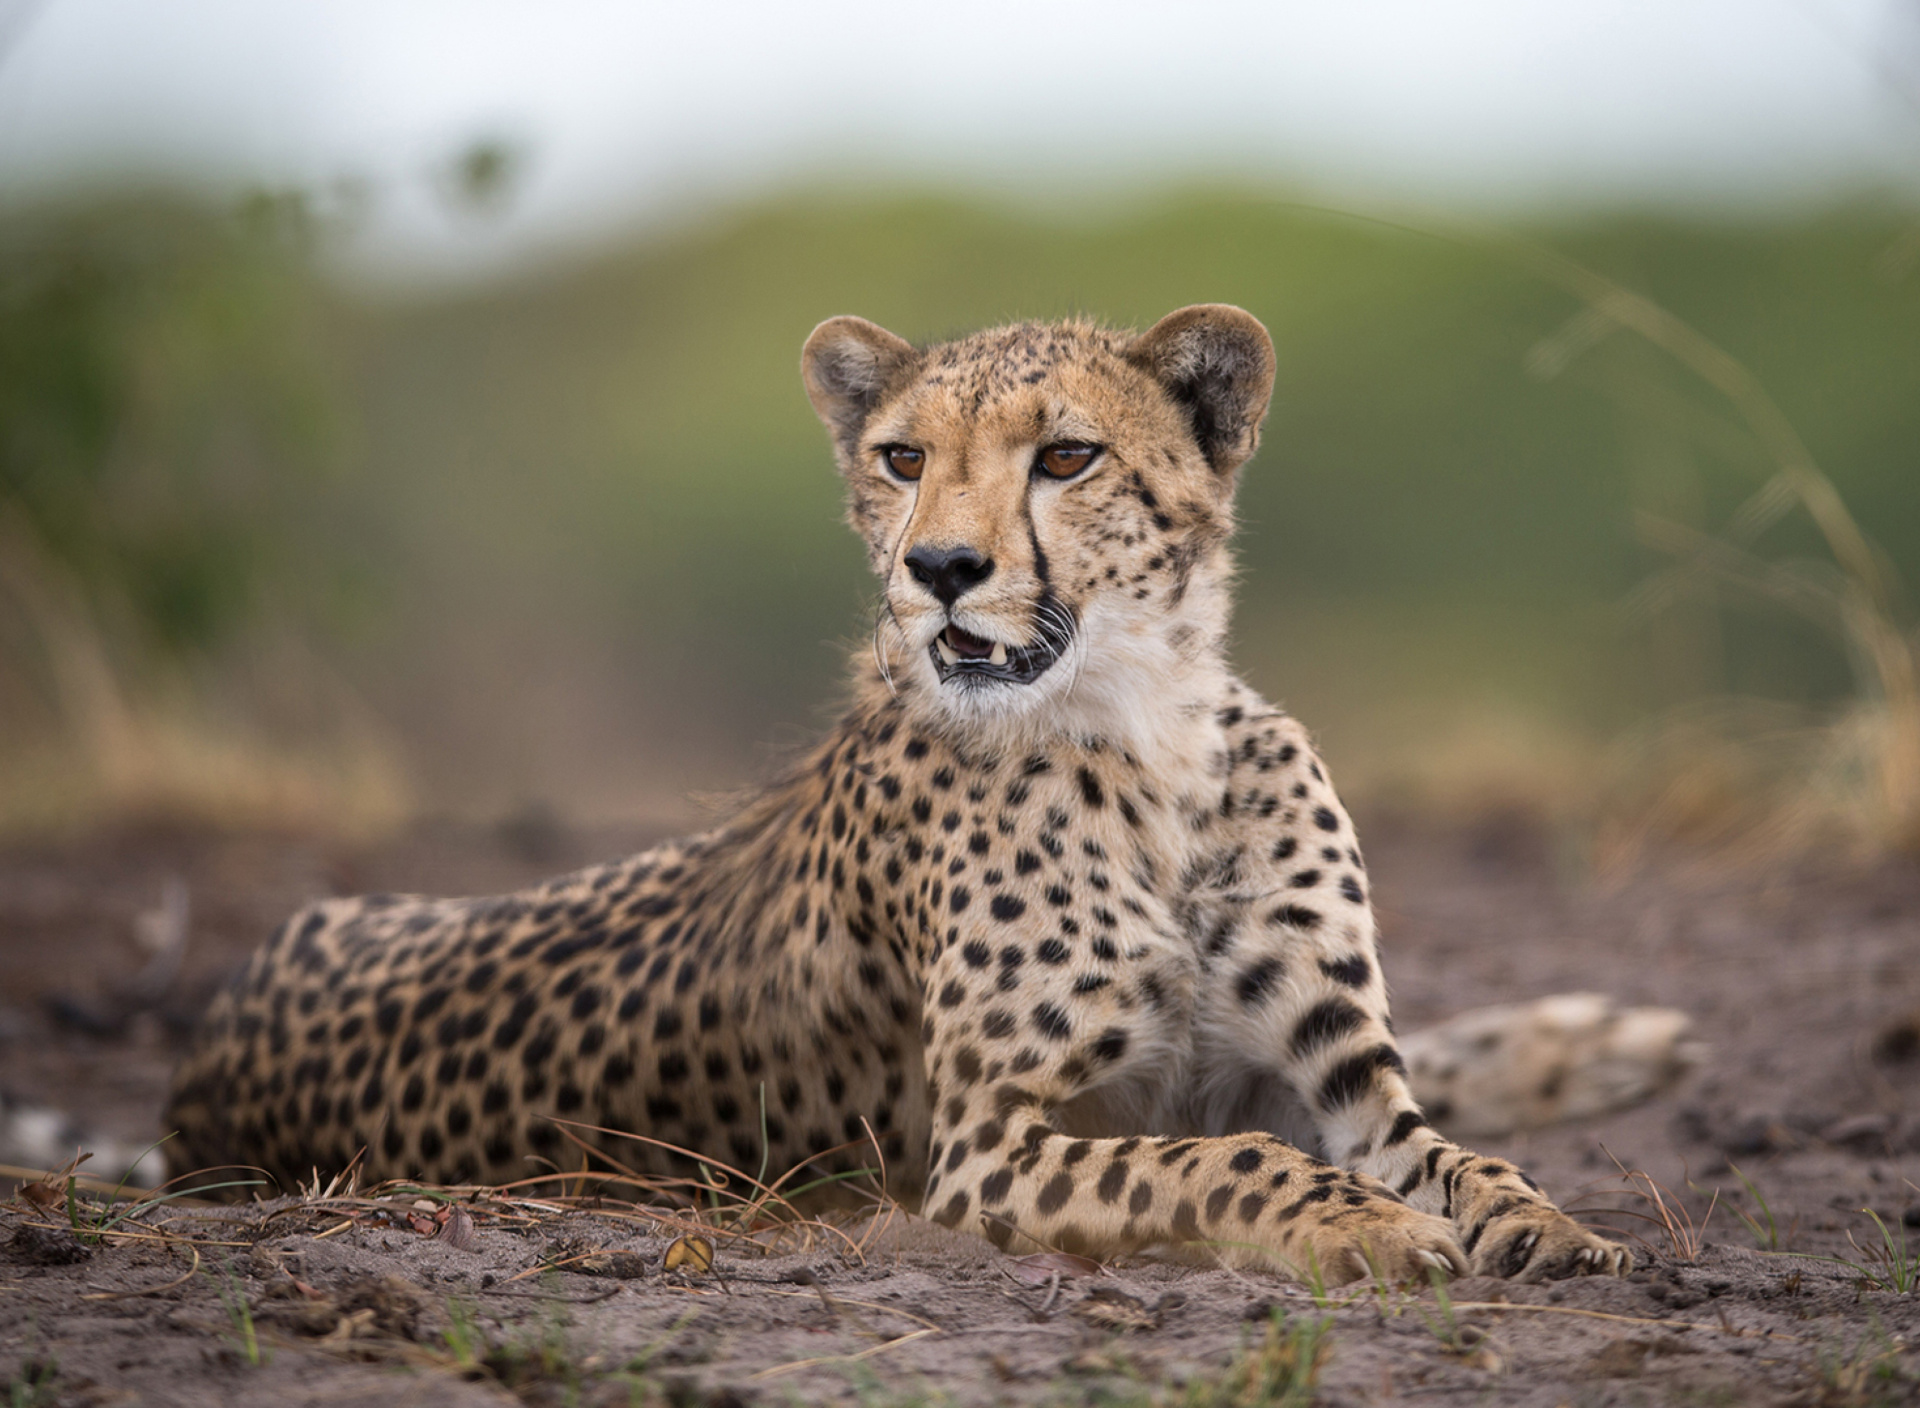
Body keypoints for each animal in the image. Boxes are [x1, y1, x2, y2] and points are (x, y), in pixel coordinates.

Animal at [168, 307, 1651, 1283]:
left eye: (1066, 458)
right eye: (900, 458)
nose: (939, 568)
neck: (1147, 739)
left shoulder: (1340, 1075)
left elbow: (1464, 1155)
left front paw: (1549, 1223)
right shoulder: (988, 1146)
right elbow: (1226, 1158)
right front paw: (1366, 1223)